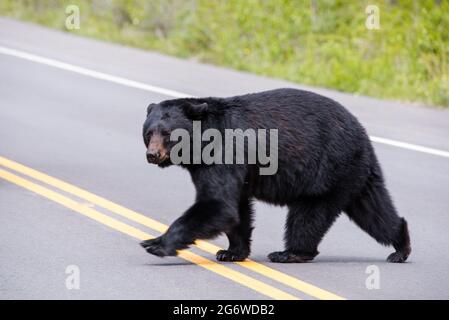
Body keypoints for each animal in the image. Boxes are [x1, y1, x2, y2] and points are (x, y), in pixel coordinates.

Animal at [139, 87, 410, 262]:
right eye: (149, 133)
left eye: (167, 134)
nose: (152, 155)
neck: (201, 144)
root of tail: (363, 135)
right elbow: (236, 208)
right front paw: (231, 252)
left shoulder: (224, 152)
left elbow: (218, 204)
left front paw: (155, 243)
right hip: (355, 174)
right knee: (373, 210)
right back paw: (400, 245)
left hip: (327, 170)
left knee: (309, 215)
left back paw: (290, 252)